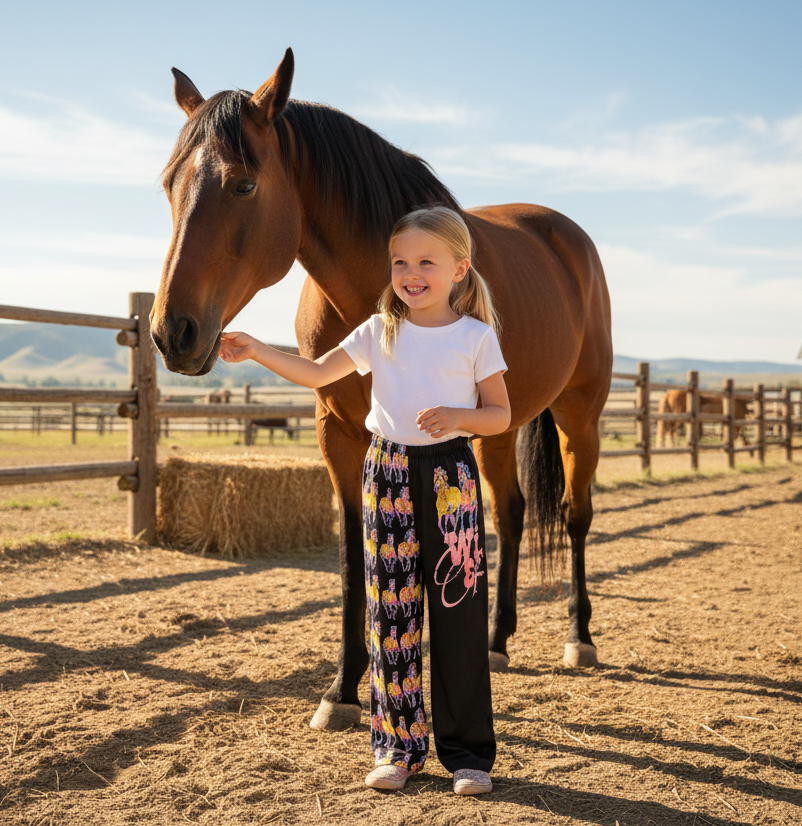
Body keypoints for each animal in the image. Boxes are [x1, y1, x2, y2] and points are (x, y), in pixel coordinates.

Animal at [150, 48, 613, 731]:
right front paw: (342, 689)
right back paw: (497, 641)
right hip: (499, 429)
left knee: (576, 516)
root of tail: (566, 237)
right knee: (512, 512)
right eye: (168, 184)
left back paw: (579, 637)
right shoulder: (337, 431)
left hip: (580, 411)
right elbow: (351, 556)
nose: (171, 332)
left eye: (243, 184)